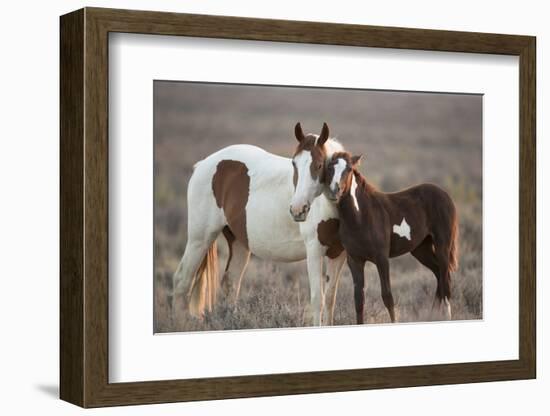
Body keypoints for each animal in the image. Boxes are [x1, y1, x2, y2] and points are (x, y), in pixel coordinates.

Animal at [172, 122, 348, 324]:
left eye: (319, 165)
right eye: (294, 163)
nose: (298, 209)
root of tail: (203, 164)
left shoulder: (338, 254)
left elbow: (330, 300)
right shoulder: (314, 251)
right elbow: (318, 299)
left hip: (238, 243)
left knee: (230, 284)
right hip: (199, 239)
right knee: (182, 280)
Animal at [326, 151, 460, 324]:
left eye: (348, 169)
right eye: (330, 168)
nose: (334, 191)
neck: (361, 216)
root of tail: (444, 194)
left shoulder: (382, 258)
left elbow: (387, 296)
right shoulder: (355, 260)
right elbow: (359, 300)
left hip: (443, 245)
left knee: (445, 281)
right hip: (421, 249)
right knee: (438, 274)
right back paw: (432, 316)